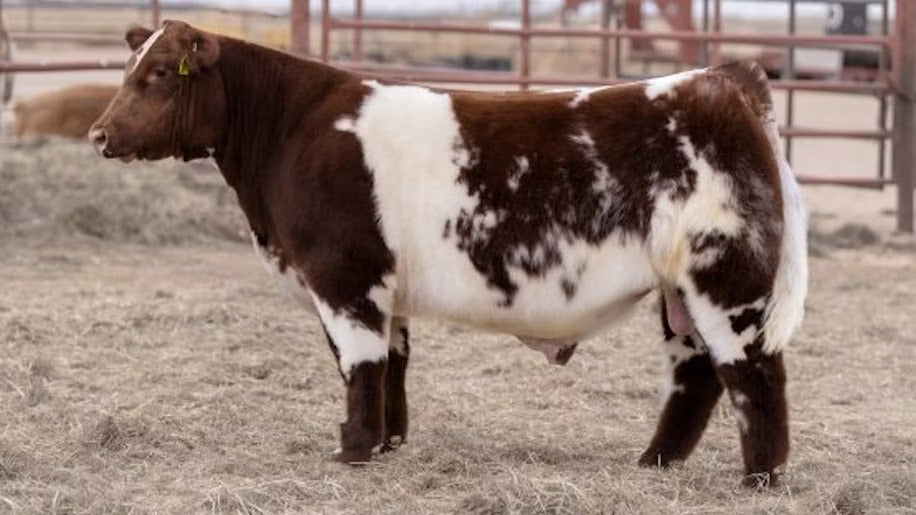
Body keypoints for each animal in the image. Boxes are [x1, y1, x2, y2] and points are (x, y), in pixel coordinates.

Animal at [88, 21, 808, 487]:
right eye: (130, 68)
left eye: (159, 73)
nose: (98, 133)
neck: (290, 130)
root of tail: (720, 79)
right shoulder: (385, 289)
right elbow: (393, 365)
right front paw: (388, 443)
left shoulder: (344, 277)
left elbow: (360, 365)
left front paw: (351, 451)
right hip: (680, 292)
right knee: (698, 375)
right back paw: (656, 462)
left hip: (726, 278)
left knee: (756, 374)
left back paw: (759, 477)